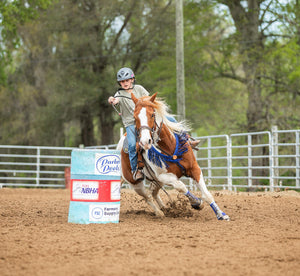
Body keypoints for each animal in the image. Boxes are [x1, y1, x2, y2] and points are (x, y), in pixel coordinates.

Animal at [117, 92, 230, 220]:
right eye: (135, 118)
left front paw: (221, 215)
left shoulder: (194, 168)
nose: (145, 142)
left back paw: (164, 208)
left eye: (152, 115)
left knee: (153, 193)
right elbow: (181, 187)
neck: (169, 148)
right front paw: (196, 202)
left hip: (156, 181)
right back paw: (159, 212)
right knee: (147, 196)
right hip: (135, 182)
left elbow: (207, 194)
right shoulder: (164, 177)